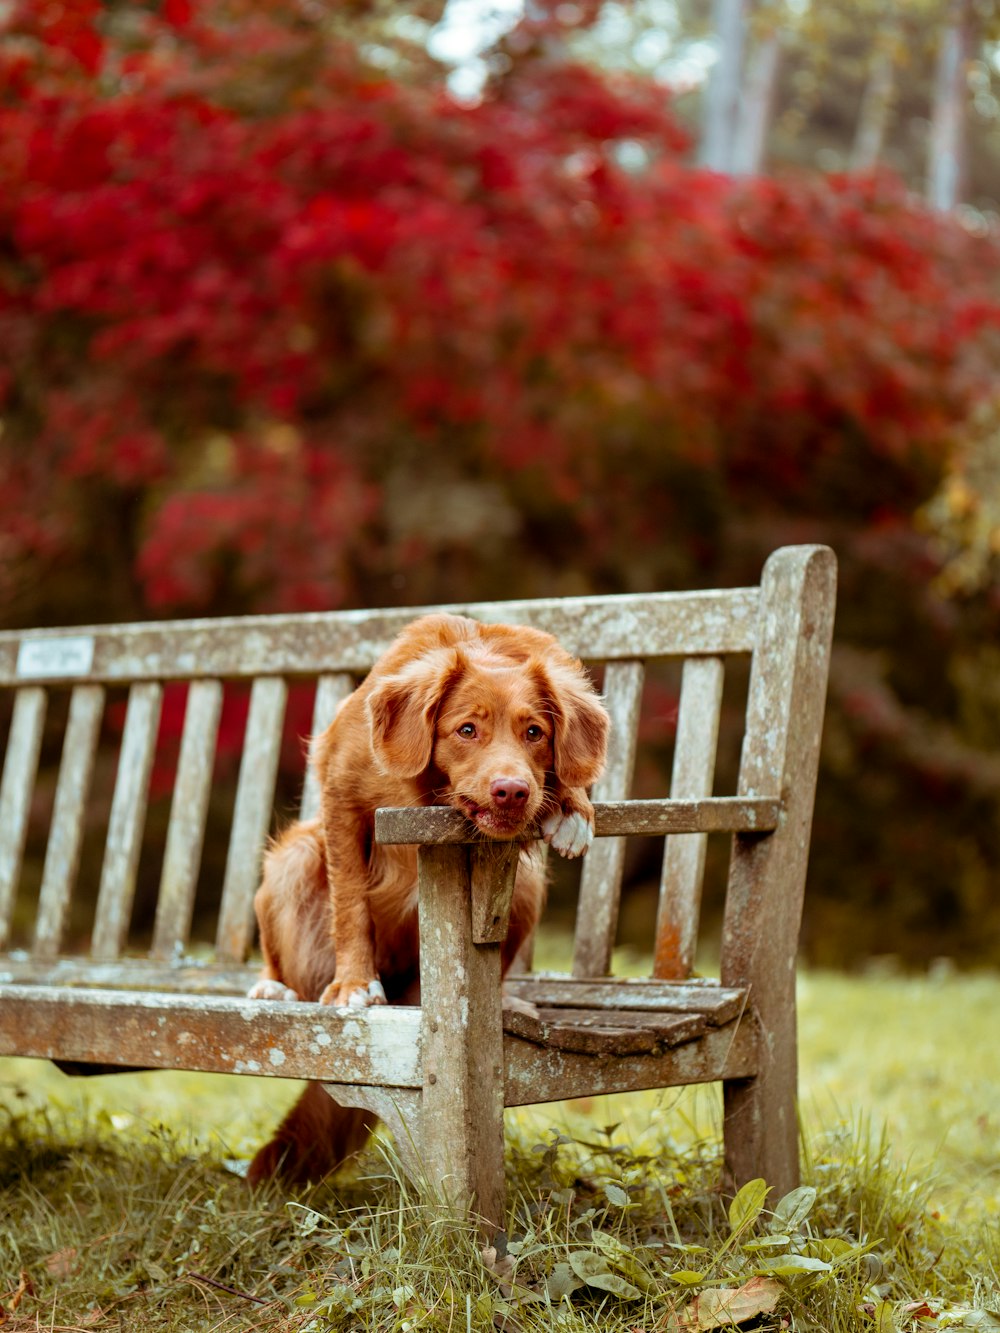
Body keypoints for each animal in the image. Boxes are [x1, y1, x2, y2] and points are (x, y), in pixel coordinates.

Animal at [250, 610, 610, 1183]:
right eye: (467, 729)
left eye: (535, 732)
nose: (512, 791)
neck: (429, 793)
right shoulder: (340, 795)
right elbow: (351, 906)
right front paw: (355, 984)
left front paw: (574, 809)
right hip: (295, 857)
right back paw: (275, 989)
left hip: (526, 886)